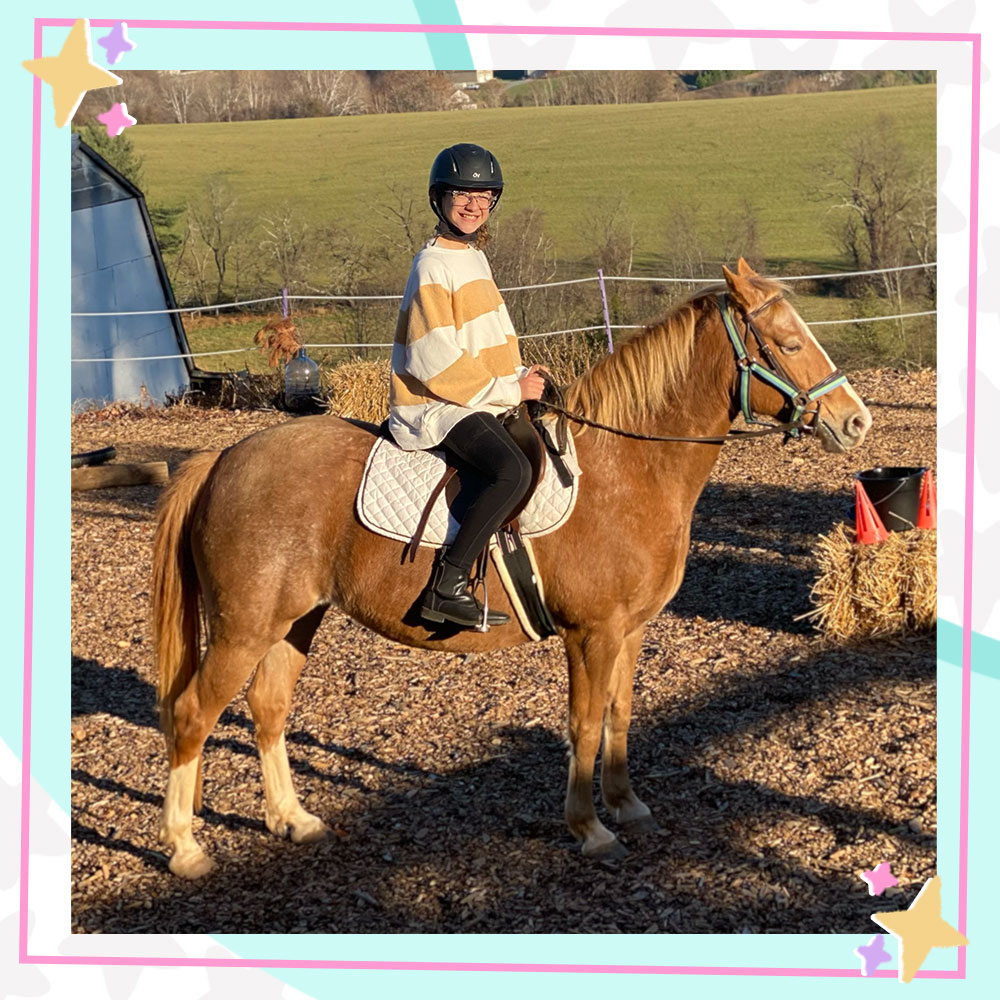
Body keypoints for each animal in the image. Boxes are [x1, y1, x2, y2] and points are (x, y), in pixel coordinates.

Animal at [152, 262, 872, 880]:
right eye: (787, 342)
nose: (855, 421)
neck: (628, 469)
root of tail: (223, 459)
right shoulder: (593, 634)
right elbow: (584, 724)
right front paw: (590, 828)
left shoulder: (631, 631)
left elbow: (621, 714)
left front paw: (628, 806)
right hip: (245, 626)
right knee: (191, 715)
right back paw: (185, 849)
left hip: (294, 619)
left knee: (267, 708)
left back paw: (292, 820)